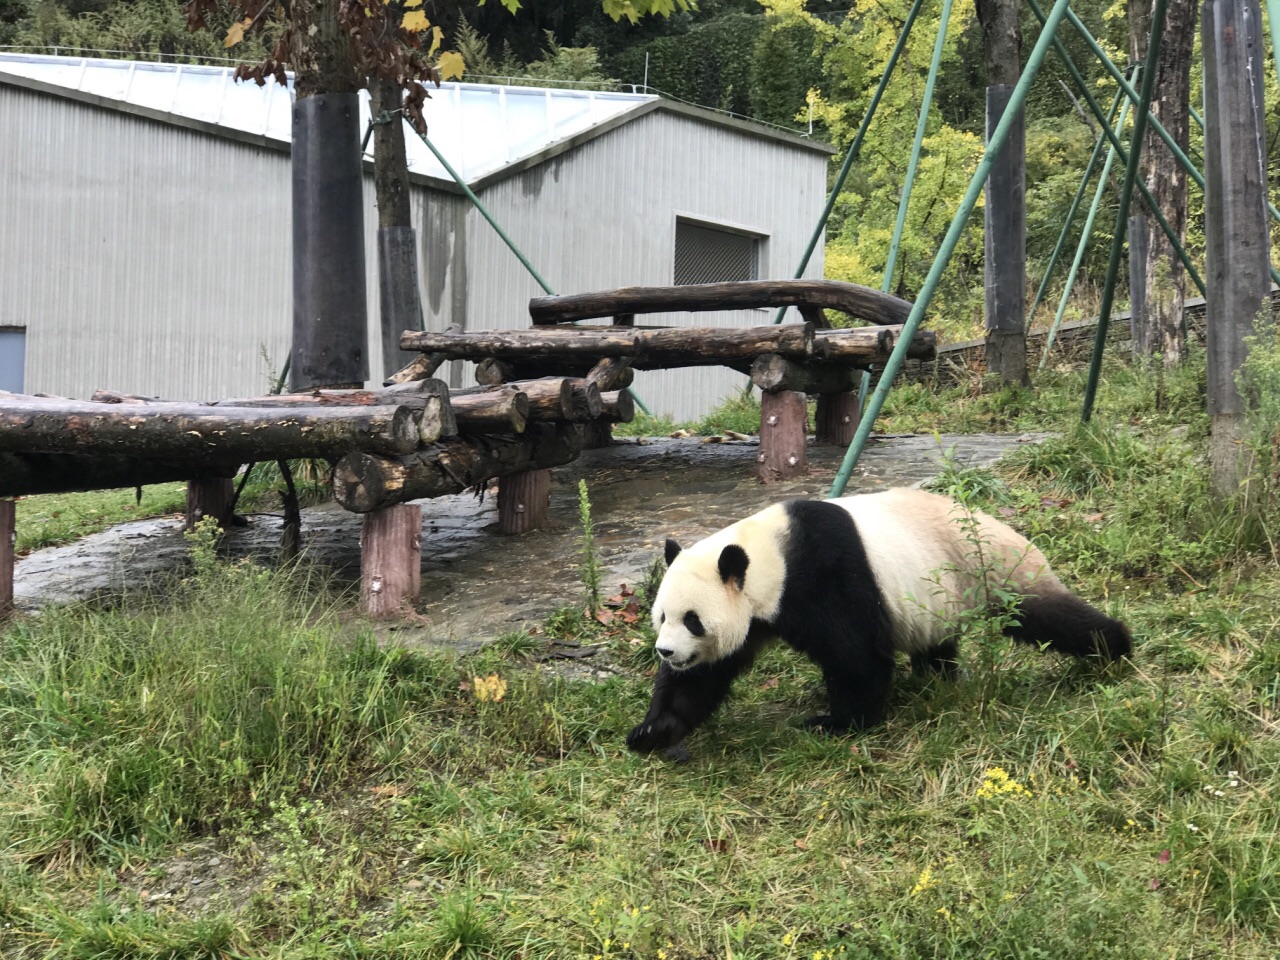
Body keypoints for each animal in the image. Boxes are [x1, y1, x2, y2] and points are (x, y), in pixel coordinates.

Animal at [627, 491, 1131, 757]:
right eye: (662, 616)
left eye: (693, 620)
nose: (665, 652)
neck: (770, 555)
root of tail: (1003, 527)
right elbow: (703, 677)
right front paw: (653, 731)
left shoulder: (824, 576)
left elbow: (856, 656)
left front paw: (836, 724)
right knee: (937, 643)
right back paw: (935, 680)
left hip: (992, 572)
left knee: (1046, 615)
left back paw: (1114, 648)